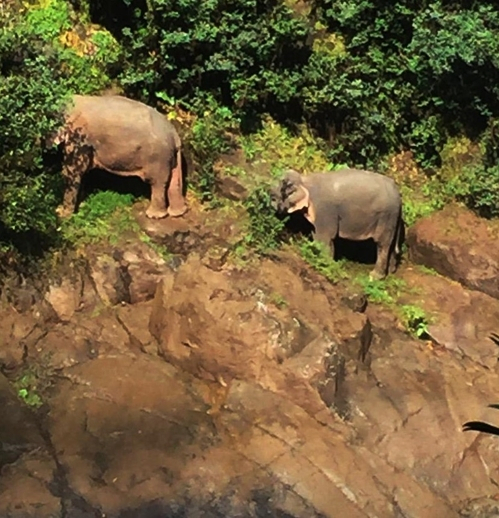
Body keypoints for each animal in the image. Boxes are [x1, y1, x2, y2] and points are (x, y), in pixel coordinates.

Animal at [51, 95, 188, 219]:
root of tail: (174, 134)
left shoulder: (78, 136)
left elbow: (73, 170)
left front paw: (61, 214)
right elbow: (82, 171)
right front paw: (81, 205)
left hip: (158, 157)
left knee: (157, 183)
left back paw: (154, 216)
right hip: (172, 156)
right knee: (174, 180)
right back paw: (177, 213)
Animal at [272, 170, 404, 280]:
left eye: (274, 197)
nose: (272, 206)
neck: (305, 179)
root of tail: (398, 194)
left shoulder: (324, 210)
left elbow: (324, 237)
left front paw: (324, 265)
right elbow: (318, 236)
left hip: (386, 216)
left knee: (382, 244)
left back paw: (375, 277)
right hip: (393, 218)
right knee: (391, 244)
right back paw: (391, 272)